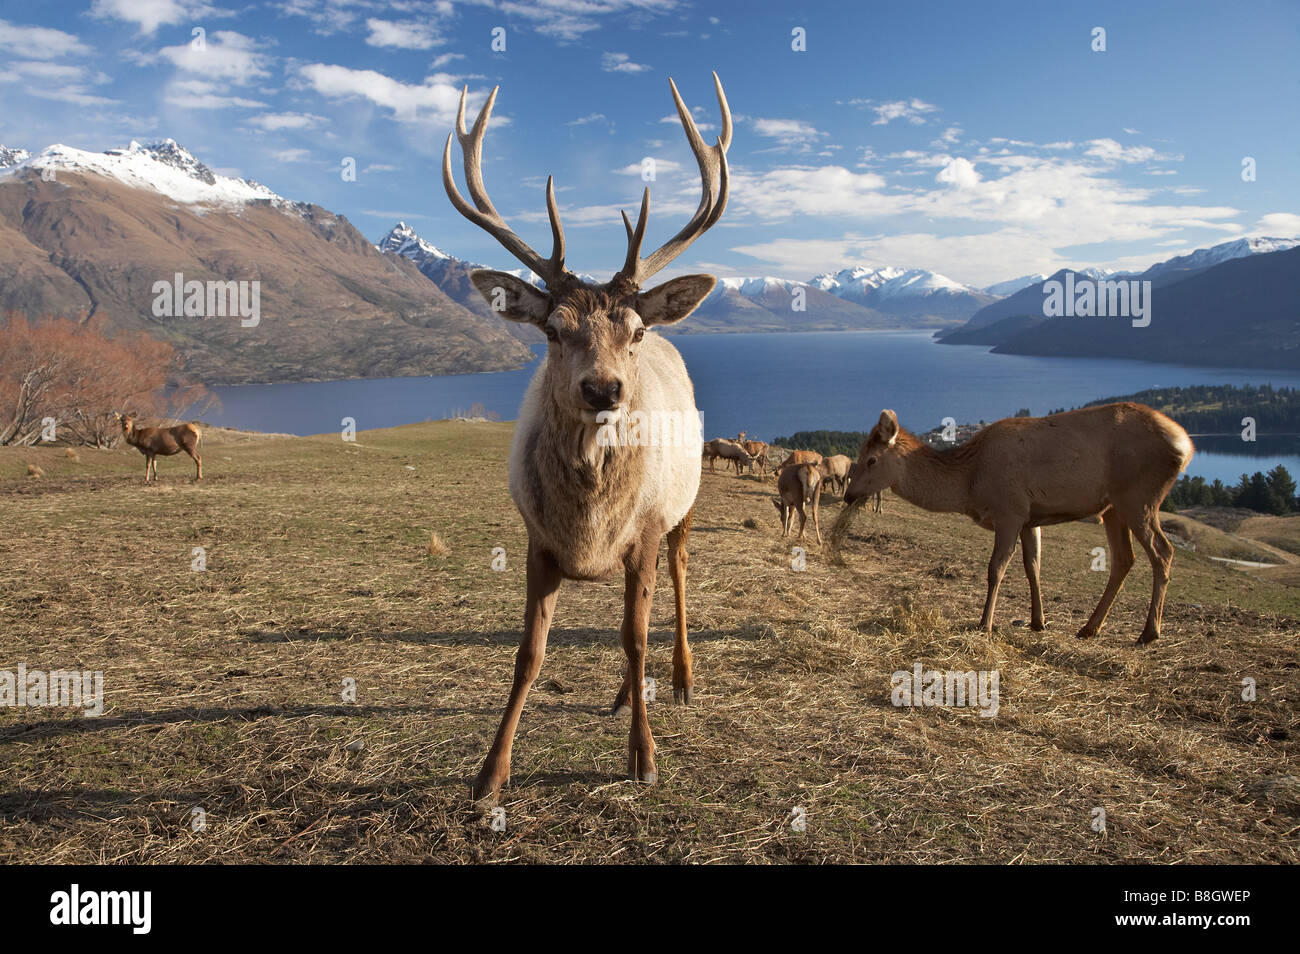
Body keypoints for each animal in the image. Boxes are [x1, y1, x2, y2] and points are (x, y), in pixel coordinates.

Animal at [444, 72, 733, 805]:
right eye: (552, 329)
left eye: (635, 330)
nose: (604, 390)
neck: (589, 526)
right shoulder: (536, 539)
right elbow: (529, 653)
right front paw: (490, 774)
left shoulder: (647, 529)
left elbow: (634, 636)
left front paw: (644, 757)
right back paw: (624, 696)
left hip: (685, 504)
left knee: (676, 582)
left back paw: (680, 680)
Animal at [847, 402, 1190, 642]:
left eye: (871, 459)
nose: (849, 495)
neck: (970, 483)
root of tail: (1184, 445)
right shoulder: (1029, 516)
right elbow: (1033, 566)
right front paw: (1039, 621)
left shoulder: (1009, 510)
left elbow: (995, 569)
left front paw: (984, 623)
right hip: (1114, 506)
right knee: (1124, 558)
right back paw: (1090, 628)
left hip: (1139, 496)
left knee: (1163, 551)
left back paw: (1149, 632)